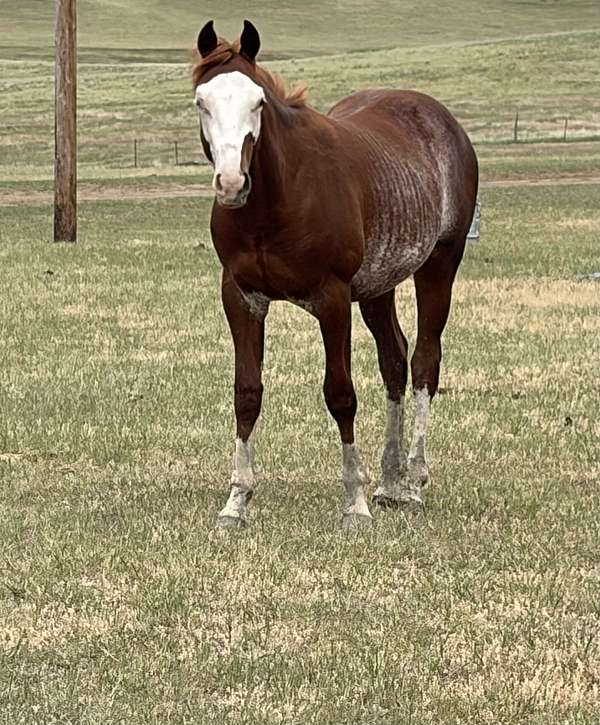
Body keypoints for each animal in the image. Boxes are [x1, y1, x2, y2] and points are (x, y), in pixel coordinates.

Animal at [192, 20, 478, 529]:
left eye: (258, 101)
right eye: (202, 101)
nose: (231, 183)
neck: (280, 197)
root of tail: (442, 120)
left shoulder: (332, 298)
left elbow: (340, 394)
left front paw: (355, 503)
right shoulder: (241, 297)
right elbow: (247, 393)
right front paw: (236, 502)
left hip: (440, 265)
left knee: (425, 362)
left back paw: (413, 484)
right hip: (380, 286)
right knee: (394, 361)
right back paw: (389, 482)